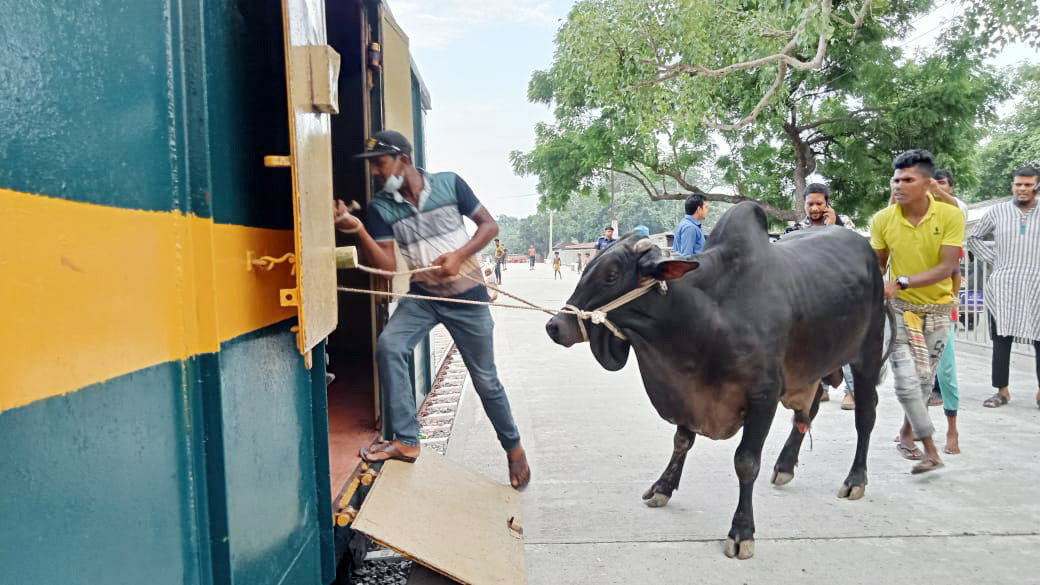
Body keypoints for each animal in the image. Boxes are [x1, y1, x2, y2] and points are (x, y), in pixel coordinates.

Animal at [544, 202, 886, 557]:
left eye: (611, 275)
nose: (555, 326)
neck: (709, 316)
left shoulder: (764, 396)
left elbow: (746, 462)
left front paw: (742, 531)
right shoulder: (688, 393)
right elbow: (682, 441)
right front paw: (663, 487)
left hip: (867, 352)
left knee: (866, 415)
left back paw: (855, 480)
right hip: (813, 364)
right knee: (808, 411)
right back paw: (785, 466)